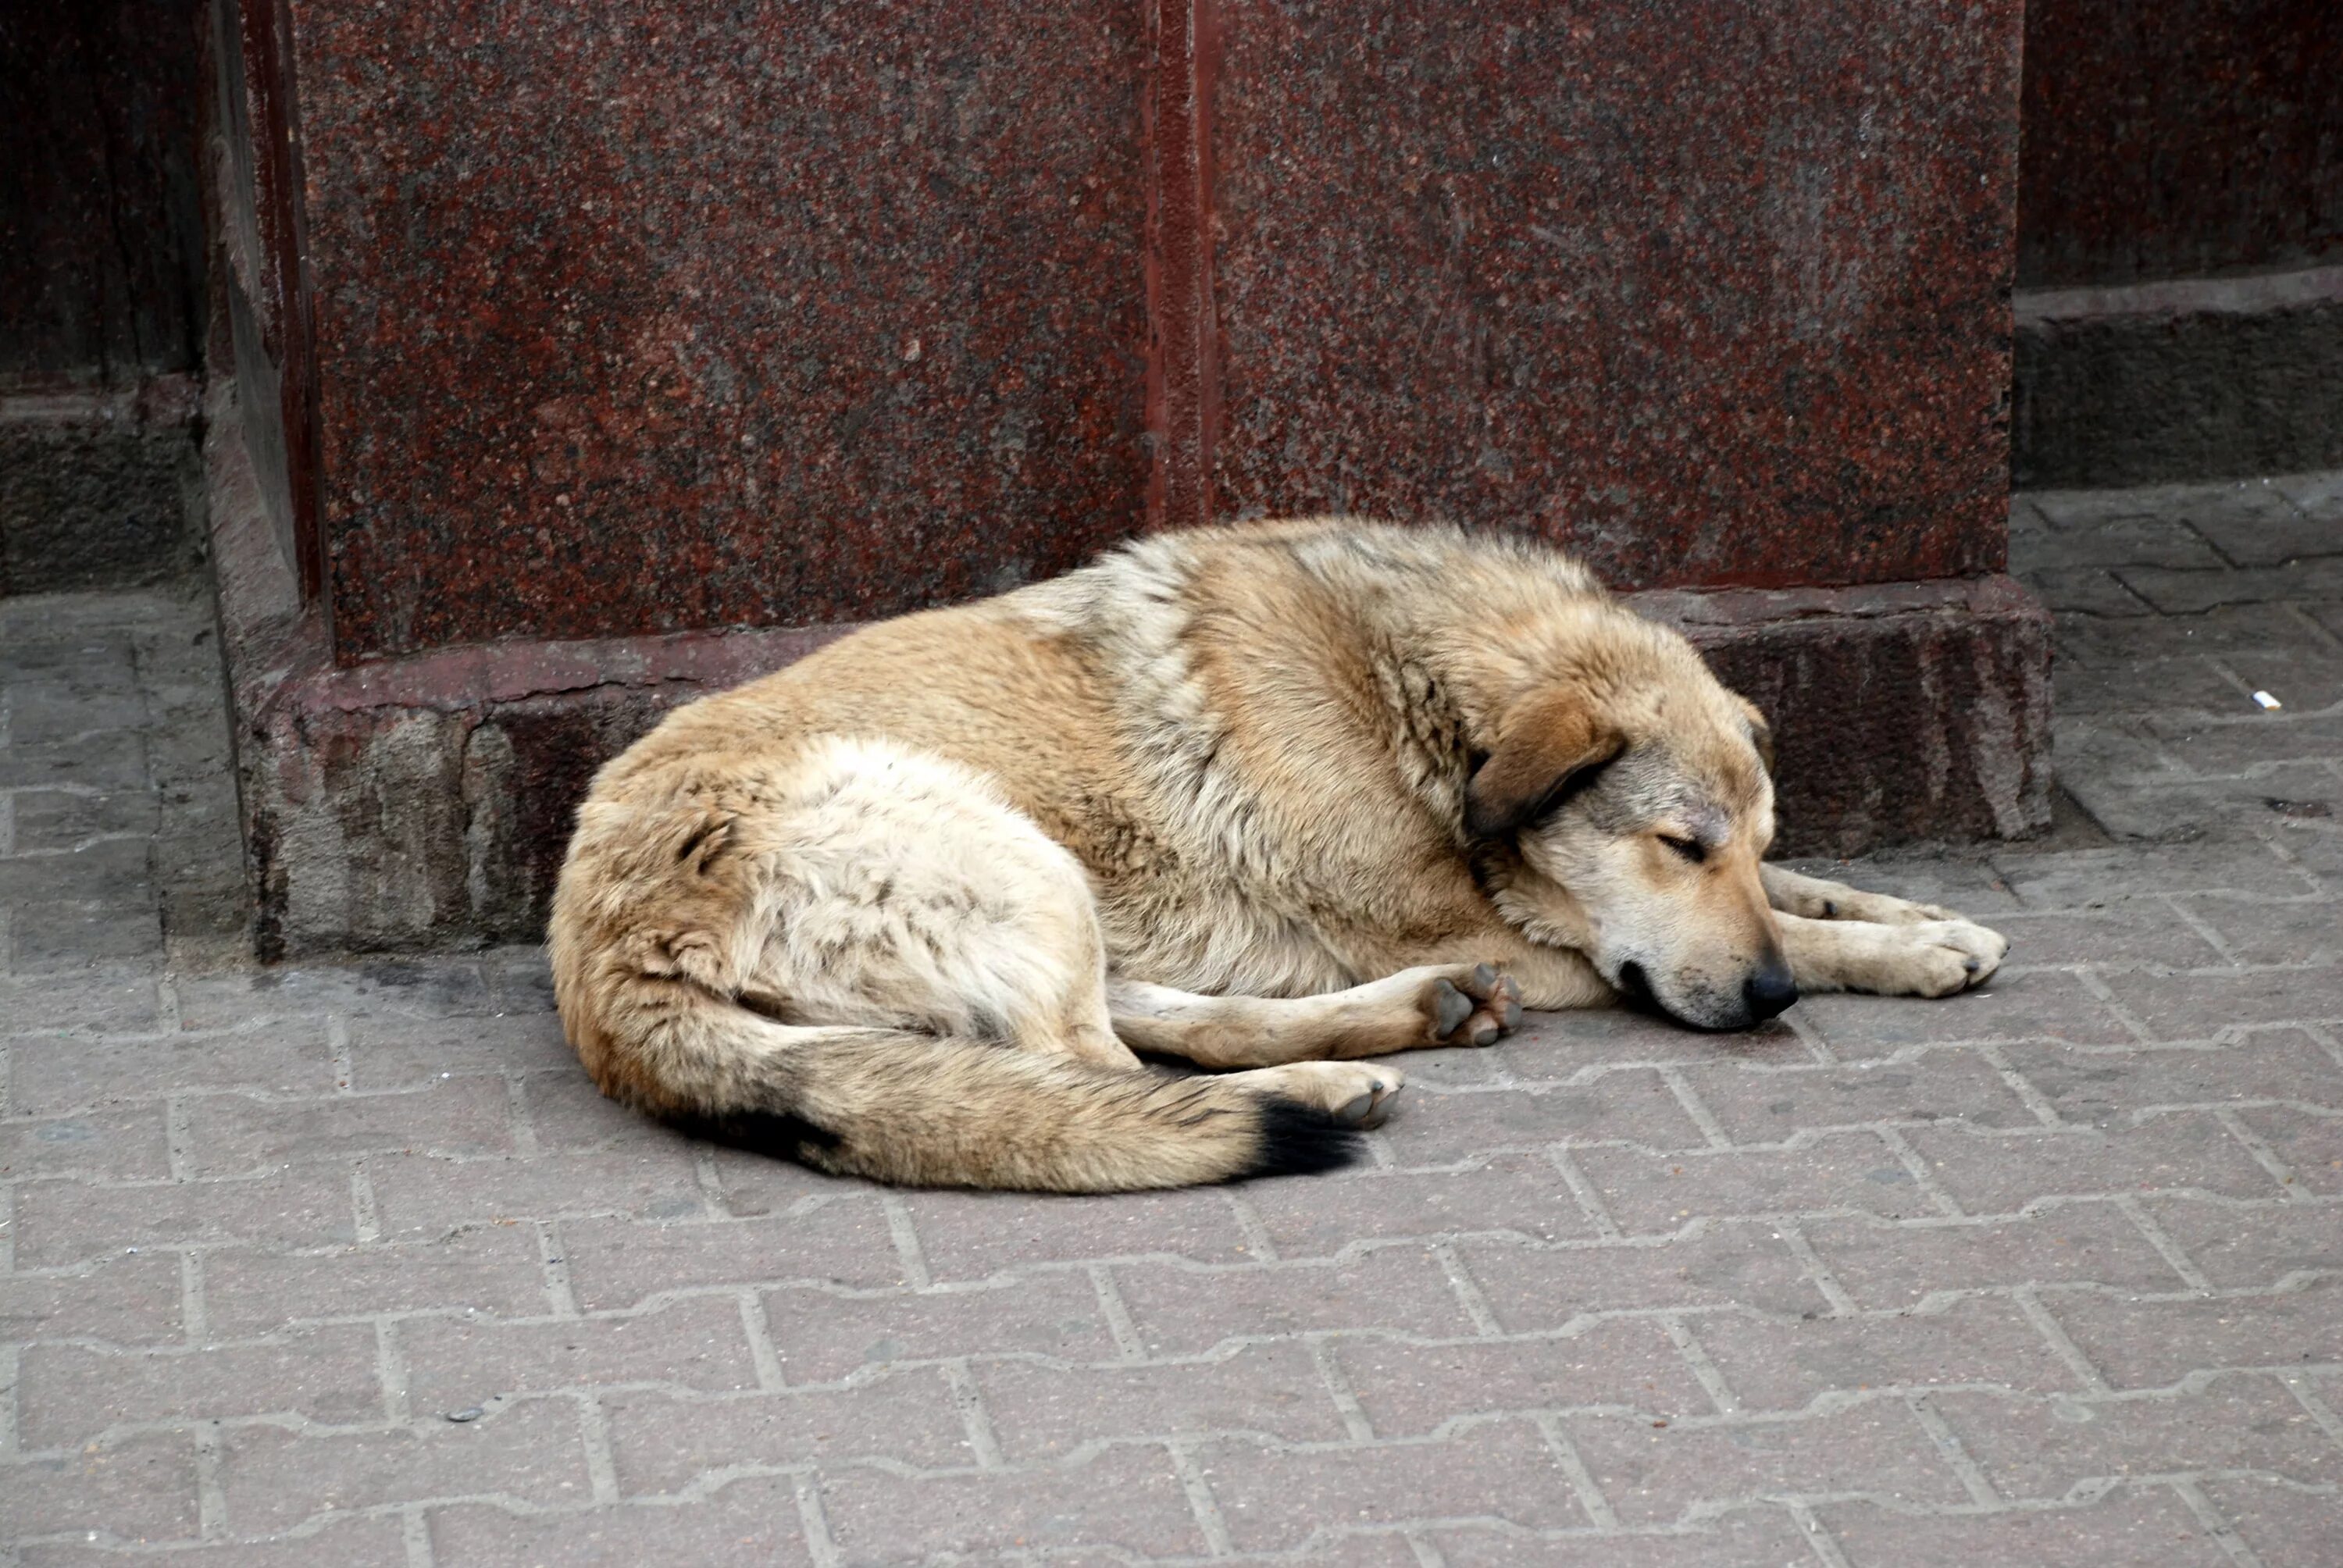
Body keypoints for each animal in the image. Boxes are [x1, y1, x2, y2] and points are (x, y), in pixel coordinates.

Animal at [544, 520, 1996, 1190]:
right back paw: (1325, 1080)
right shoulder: (1501, 922)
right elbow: (1713, 931)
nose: (1770, 1005)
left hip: (1043, 894)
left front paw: (1922, 922)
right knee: (1097, 1076)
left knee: (1143, 1033)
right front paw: (1886, 951)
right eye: (1676, 845)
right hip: (1004, 850)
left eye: (1739, 841)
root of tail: (597, 953)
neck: (1411, 686)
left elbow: (1805, 896)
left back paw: (1388, 1032)